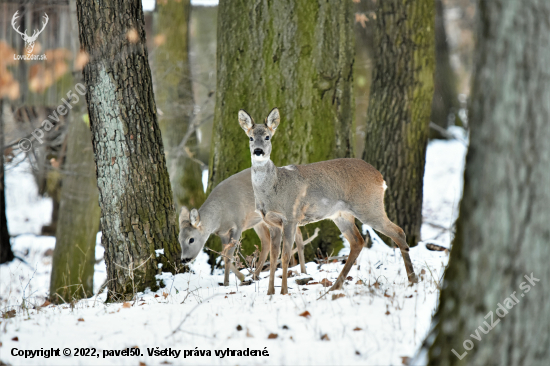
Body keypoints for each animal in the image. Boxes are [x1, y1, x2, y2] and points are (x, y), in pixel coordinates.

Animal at [179, 169, 322, 286]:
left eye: (191, 239)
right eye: (179, 240)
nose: (184, 259)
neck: (219, 216)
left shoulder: (238, 224)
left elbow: (229, 254)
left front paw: (228, 282)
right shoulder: (223, 233)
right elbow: (224, 254)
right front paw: (240, 277)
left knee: (297, 234)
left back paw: (303, 271)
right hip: (259, 220)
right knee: (266, 240)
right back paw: (255, 275)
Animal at [237, 108, 418, 294]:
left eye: (267, 137)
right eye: (251, 137)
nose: (258, 151)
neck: (273, 188)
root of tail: (380, 178)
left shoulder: (290, 217)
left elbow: (285, 256)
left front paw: (284, 292)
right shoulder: (272, 222)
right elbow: (274, 257)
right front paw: (270, 293)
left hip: (369, 206)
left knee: (398, 231)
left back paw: (413, 280)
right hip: (342, 214)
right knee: (357, 241)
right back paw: (334, 287)